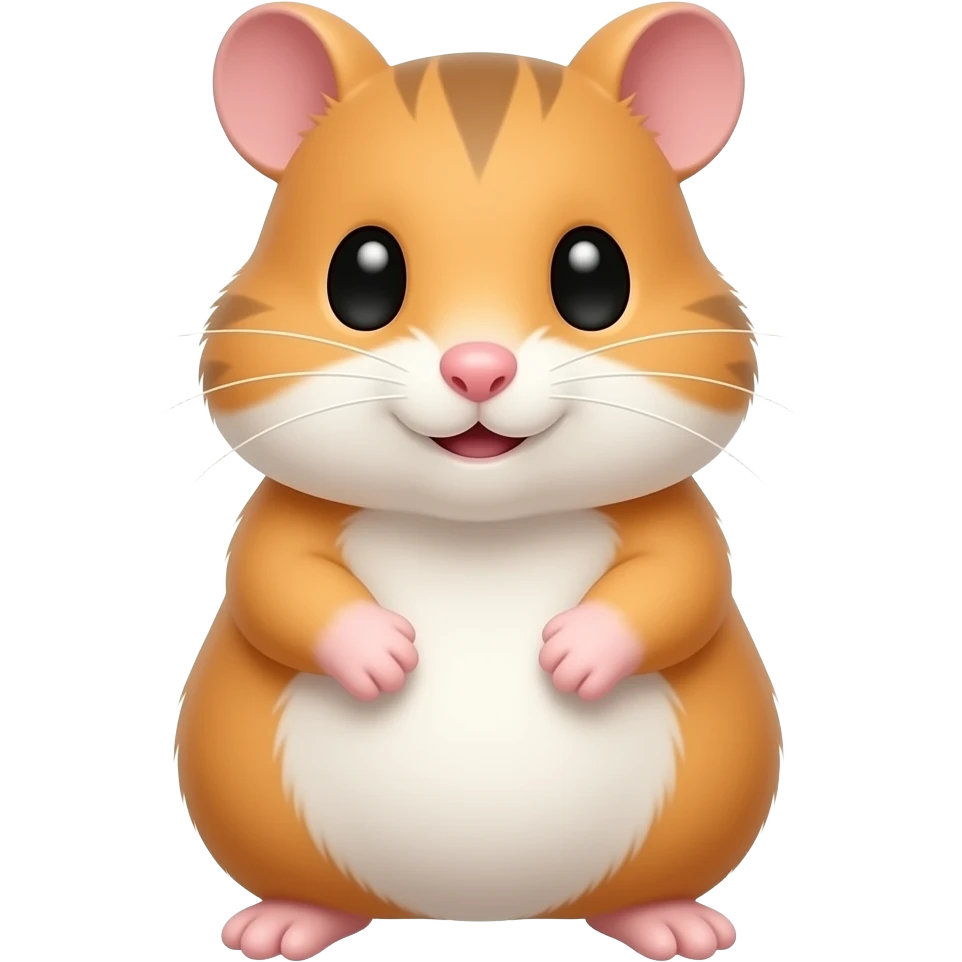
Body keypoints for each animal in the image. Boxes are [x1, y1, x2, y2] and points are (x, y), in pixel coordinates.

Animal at [174, 3, 784, 961]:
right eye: (363, 275)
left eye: (593, 275)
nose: (478, 368)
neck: (479, 529)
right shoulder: (283, 520)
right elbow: (273, 582)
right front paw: (379, 653)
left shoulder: (673, 520)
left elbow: (684, 583)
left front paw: (577, 653)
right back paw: (289, 921)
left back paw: (668, 921)